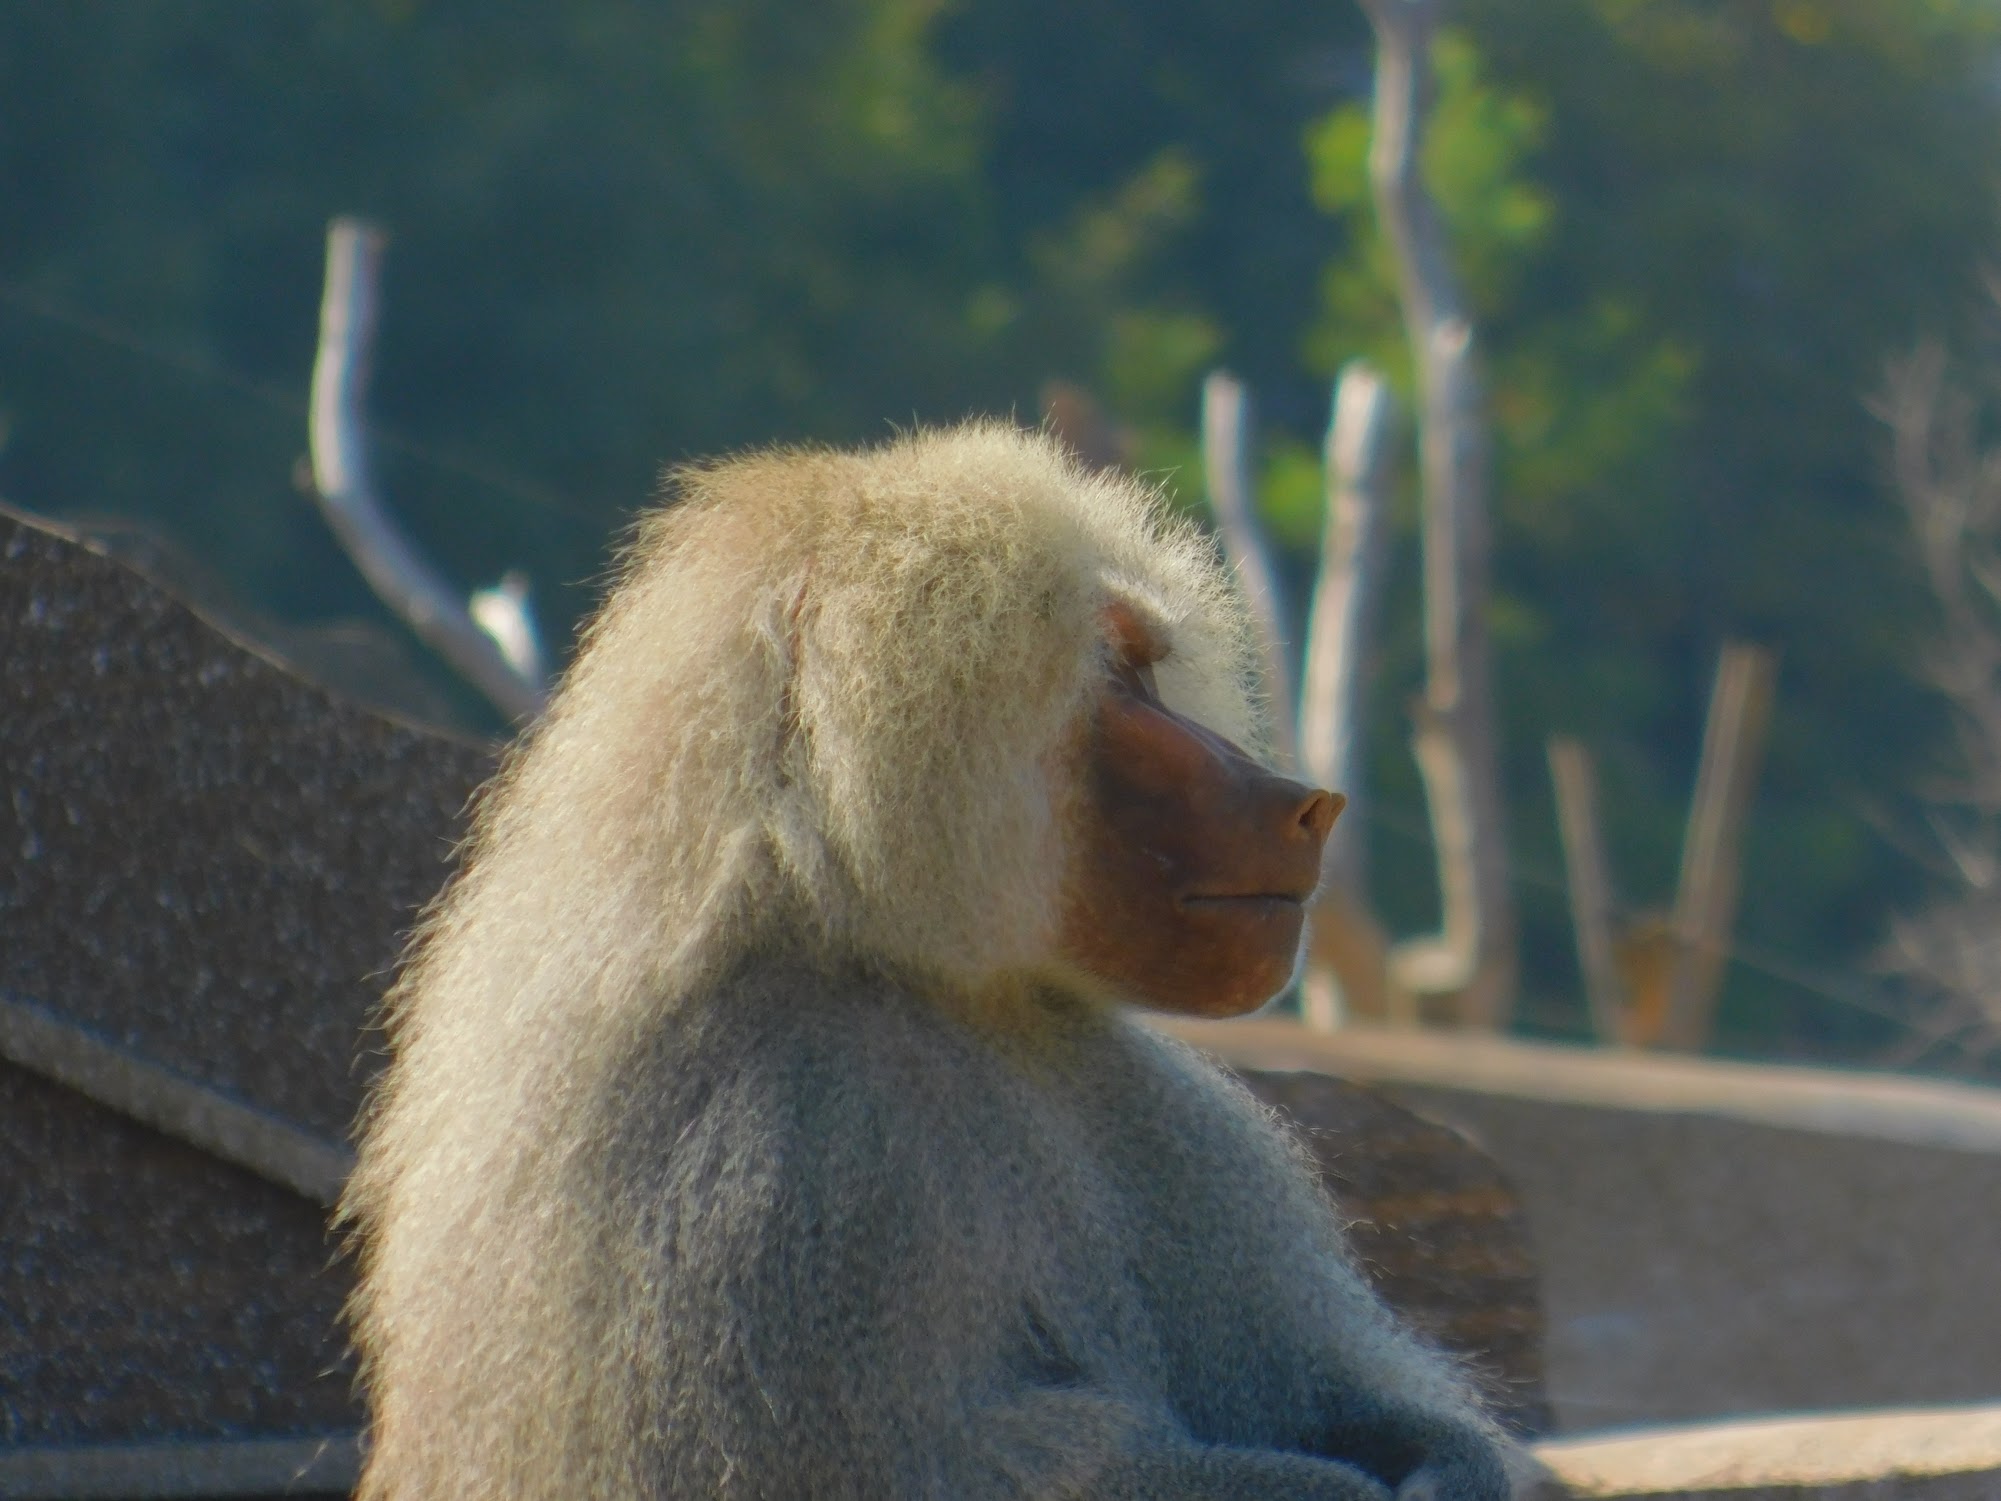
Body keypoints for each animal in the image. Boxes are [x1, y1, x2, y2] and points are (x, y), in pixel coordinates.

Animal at [342, 422, 1514, 1500]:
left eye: (1149, 666)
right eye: (1118, 676)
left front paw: (1445, 1463)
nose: (1304, 804)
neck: (902, 965)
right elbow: (984, 1458)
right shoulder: (774, 1153)